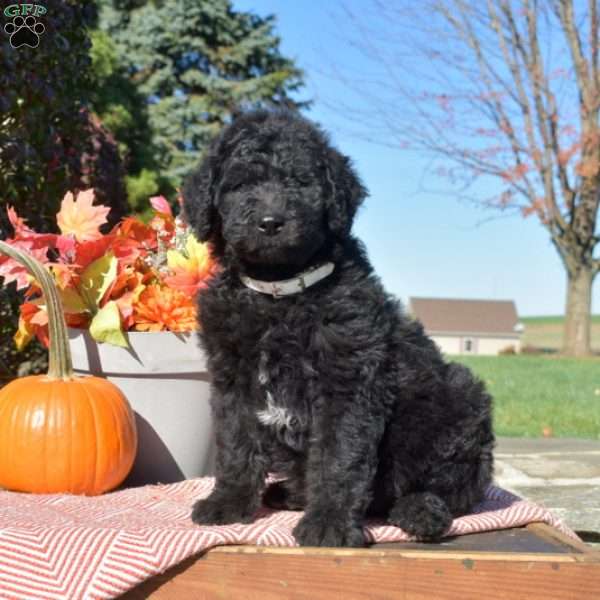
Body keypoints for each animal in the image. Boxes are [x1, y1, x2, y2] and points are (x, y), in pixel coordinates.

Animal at [185, 105, 494, 548]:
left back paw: (420, 511)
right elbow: (236, 444)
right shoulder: (233, 378)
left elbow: (338, 457)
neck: (278, 293)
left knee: (455, 488)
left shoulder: (348, 381)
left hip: (460, 401)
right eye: (240, 185)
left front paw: (328, 524)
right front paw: (228, 502)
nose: (270, 222)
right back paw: (288, 493)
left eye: (301, 182)